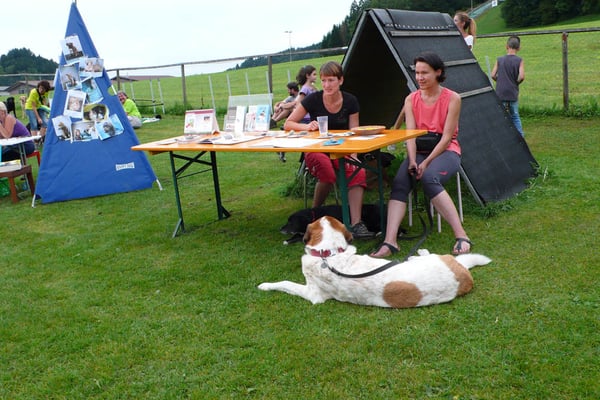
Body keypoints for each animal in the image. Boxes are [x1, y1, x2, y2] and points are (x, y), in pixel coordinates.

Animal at [260, 216, 491, 308]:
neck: (330, 254)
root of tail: (463, 273)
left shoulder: (312, 294)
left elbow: (286, 284)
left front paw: (265, 285)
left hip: (437, 257)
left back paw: (418, 252)